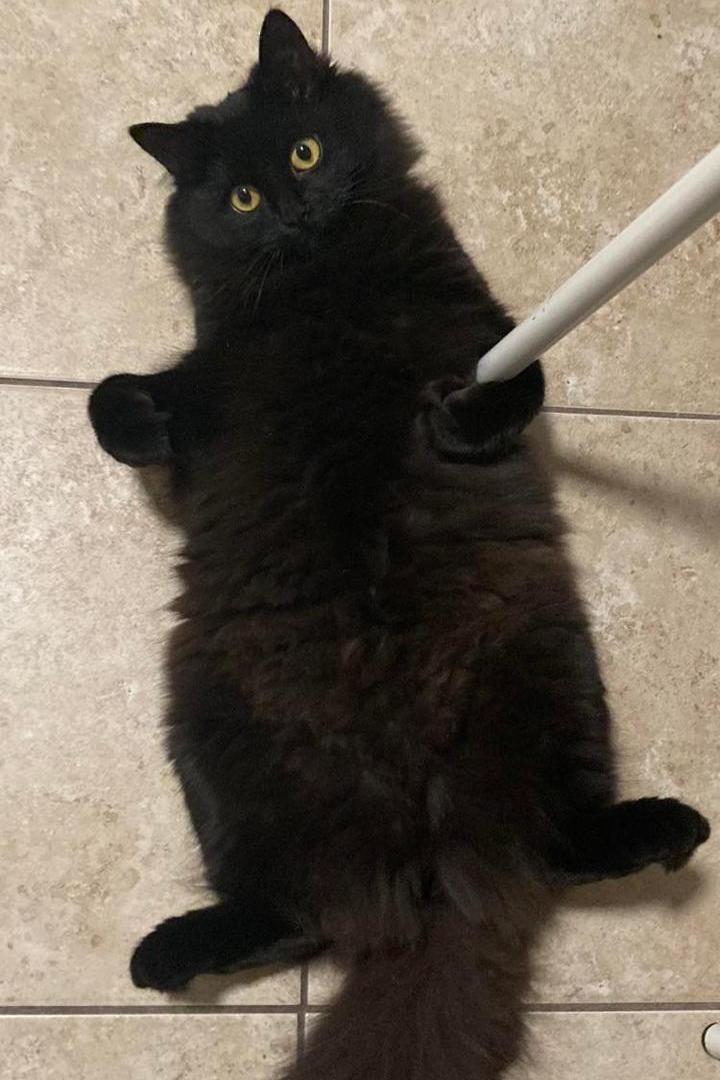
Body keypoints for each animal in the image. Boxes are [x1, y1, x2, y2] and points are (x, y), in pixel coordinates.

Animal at [89, 11, 710, 1079]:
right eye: (242, 197)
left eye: (306, 151)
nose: (296, 208)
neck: (324, 283)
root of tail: (425, 866)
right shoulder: (210, 382)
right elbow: (112, 402)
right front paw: (139, 420)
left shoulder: (480, 329)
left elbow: (517, 380)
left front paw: (451, 425)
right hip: (210, 739)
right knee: (302, 917)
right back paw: (165, 955)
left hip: (556, 676)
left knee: (552, 849)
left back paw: (670, 827)